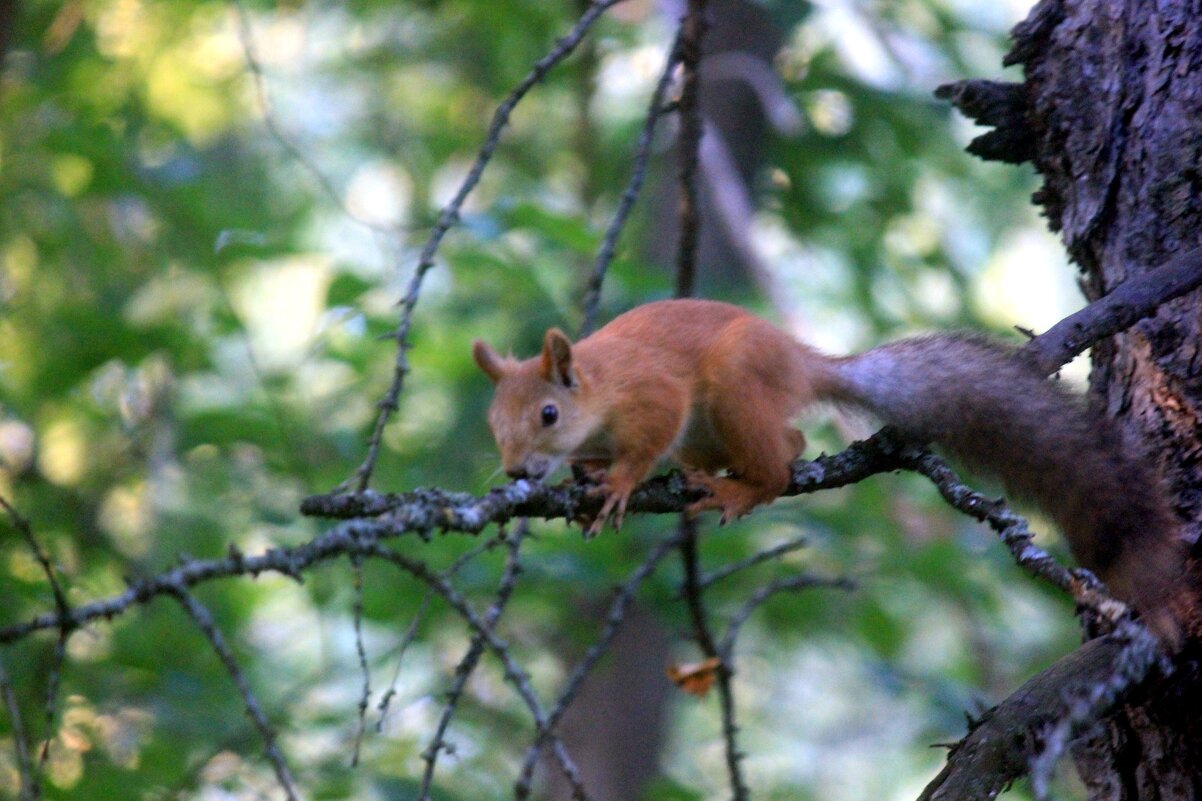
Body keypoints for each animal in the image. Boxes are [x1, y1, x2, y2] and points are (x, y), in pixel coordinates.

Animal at [471, 295, 1192, 639]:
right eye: (493, 425)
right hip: (709, 435)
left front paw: (619, 483)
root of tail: (802, 362)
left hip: (732, 389)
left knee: (781, 460)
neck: (598, 386)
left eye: (547, 415)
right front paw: (583, 487)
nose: (515, 471)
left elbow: (645, 443)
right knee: (785, 441)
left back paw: (740, 491)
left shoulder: (654, 396)